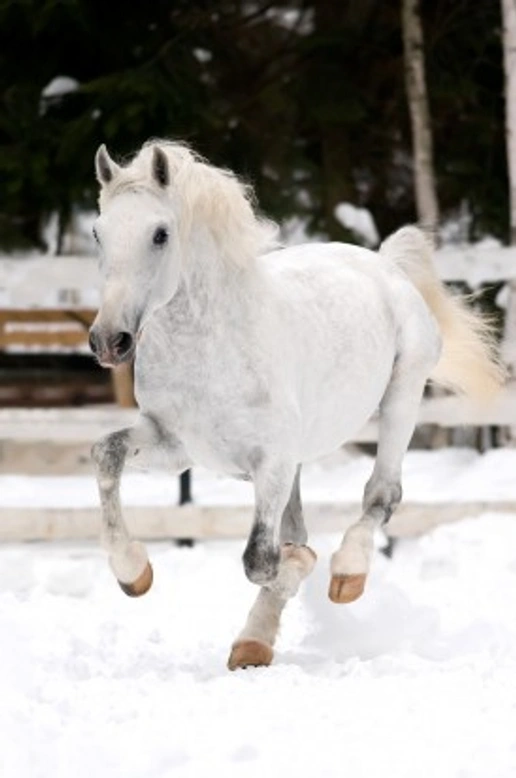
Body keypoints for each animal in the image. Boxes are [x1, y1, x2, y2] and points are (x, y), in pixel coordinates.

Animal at [89, 139, 503, 670]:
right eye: (98, 232)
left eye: (160, 234)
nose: (109, 341)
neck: (209, 347)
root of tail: (384, 264)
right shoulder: (177, 446)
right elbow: (107, 454)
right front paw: (133, 572)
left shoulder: (272, 462)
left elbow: (260, 558)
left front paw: (301, 567)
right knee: (300, 525)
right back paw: (253, 643)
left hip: (402, 396)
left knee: (381, 494)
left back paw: (346, 574)